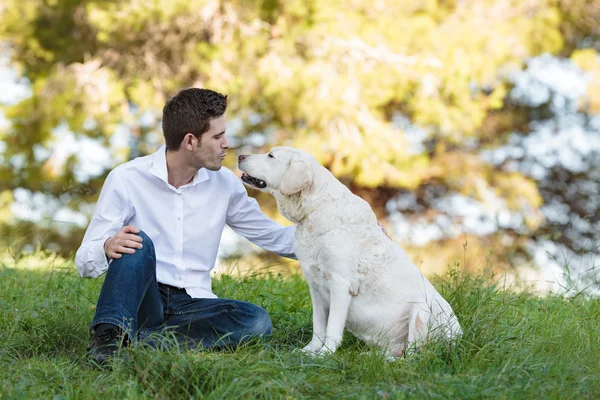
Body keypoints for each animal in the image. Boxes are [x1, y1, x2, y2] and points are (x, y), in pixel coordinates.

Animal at [237, 146, 462, 356]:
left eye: (271, 156)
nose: (240, 155)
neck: (315, 211)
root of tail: (459, 339)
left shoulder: (340, 284)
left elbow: (332, 328)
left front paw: (325, 355)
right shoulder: (315, 287)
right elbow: (318, 326)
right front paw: (309, 351)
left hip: (422, 310)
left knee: (417, 355)